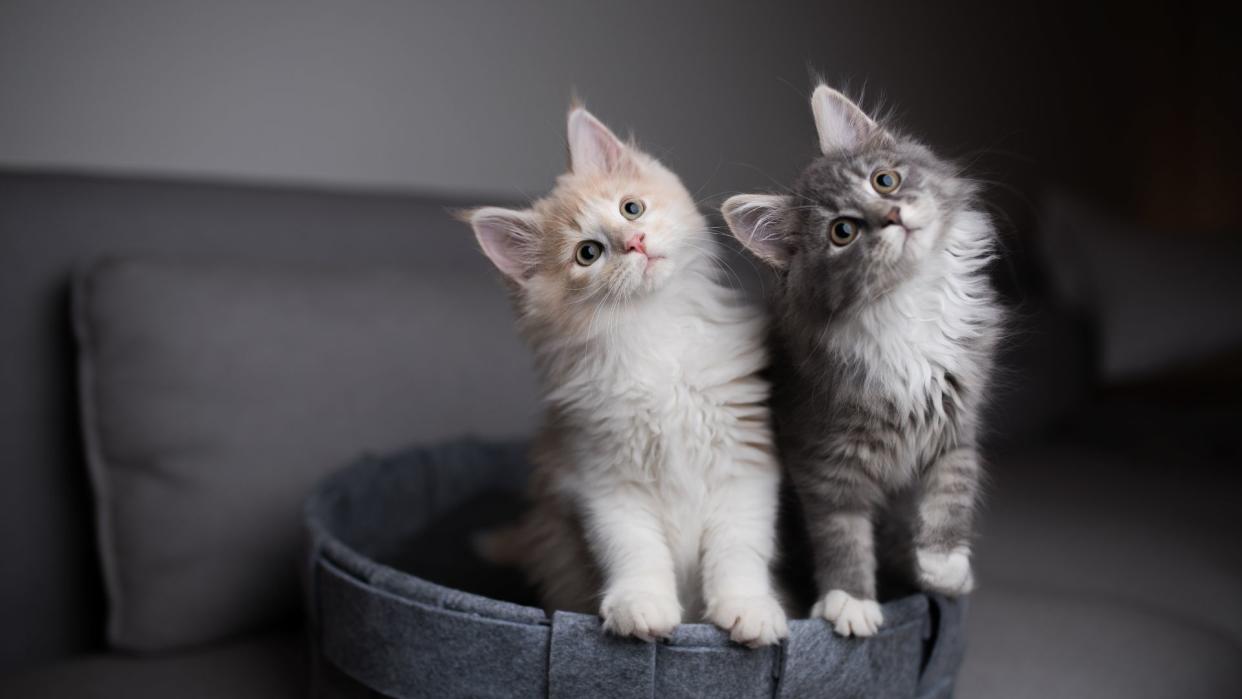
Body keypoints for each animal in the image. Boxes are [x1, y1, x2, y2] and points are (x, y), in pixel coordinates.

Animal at [466, 106, 784, 650]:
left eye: (631, 208)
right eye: (588, 253)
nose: (634, 242)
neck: (653, 335)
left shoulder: (744, 465)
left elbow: (738, 549)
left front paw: (748, 608)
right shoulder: (603, 481)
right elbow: (634, 550)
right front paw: (641, 607)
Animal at [725, 85, 1003, 635]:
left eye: (884, 180)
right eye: (843, 232)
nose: (892, 217)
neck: (906, 306)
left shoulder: (956, 422)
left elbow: (952, 490)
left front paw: (944, 566)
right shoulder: (823, 459)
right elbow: (841, 533)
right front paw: (850, 600)